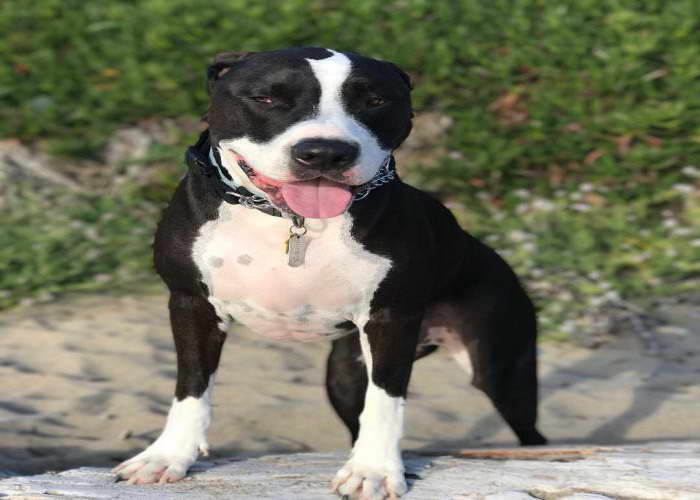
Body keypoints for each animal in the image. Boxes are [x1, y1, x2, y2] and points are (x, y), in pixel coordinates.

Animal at [112, 47, 548, 500]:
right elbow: (191, 387)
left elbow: (386, 399)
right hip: (343, 374)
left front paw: (373, 470)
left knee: (528, 430)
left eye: (374, 101)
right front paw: (167, 456)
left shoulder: (391, 319)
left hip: (500, 367)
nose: (324, 152)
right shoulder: (192, 304)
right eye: (267, 98)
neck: (290, 220)